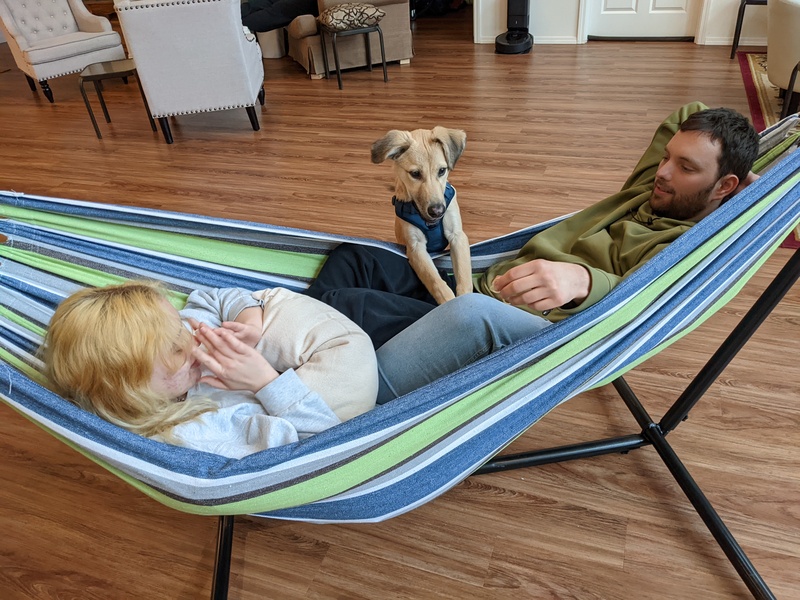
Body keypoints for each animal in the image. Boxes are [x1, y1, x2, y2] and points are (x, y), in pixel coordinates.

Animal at [372, 126, 472, 304]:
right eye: (415, 174)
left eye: (442, 171)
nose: (438, 211)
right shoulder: (416, 248)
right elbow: (436, 282)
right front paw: (450, 303)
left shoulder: (457, 236)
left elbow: (464, 275)